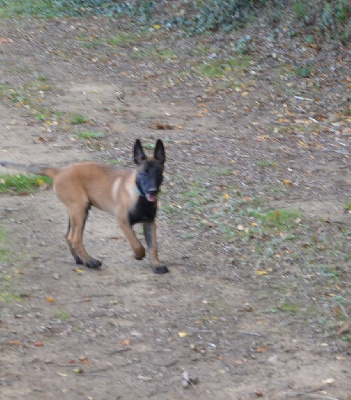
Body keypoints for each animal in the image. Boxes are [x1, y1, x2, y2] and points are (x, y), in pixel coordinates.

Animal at [0, 139, 168, 274]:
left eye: (158, 173)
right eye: (144, 173)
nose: (153, 190)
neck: (139, 195)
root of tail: (59, 171)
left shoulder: (150, 222)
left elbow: (153, 247)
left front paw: (156, 265)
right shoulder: (123, 222)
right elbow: (137, 244)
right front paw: (137, 255)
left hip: (76, 211)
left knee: (67, 235)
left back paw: (80, 260)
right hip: (80, 209)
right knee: (74, 238)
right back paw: (90, 261)